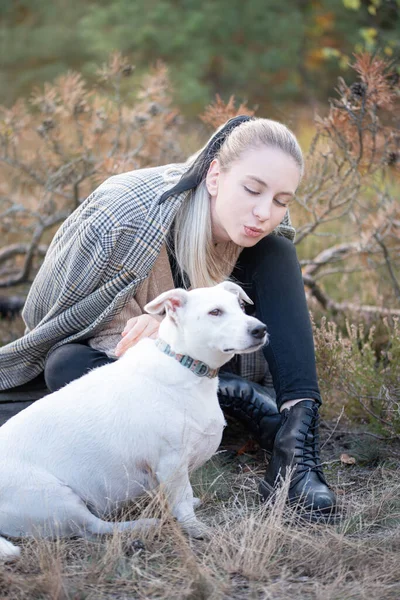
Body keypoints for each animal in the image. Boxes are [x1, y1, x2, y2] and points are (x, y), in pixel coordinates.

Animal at [0, 280, 268, 556]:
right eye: (215, 312)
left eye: (240, 306)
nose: (261, 329)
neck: (185, 366)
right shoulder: (172, 463)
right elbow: (182, 500)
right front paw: (195, 528)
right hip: (58, 499)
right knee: (95, 527)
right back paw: (143, 524)